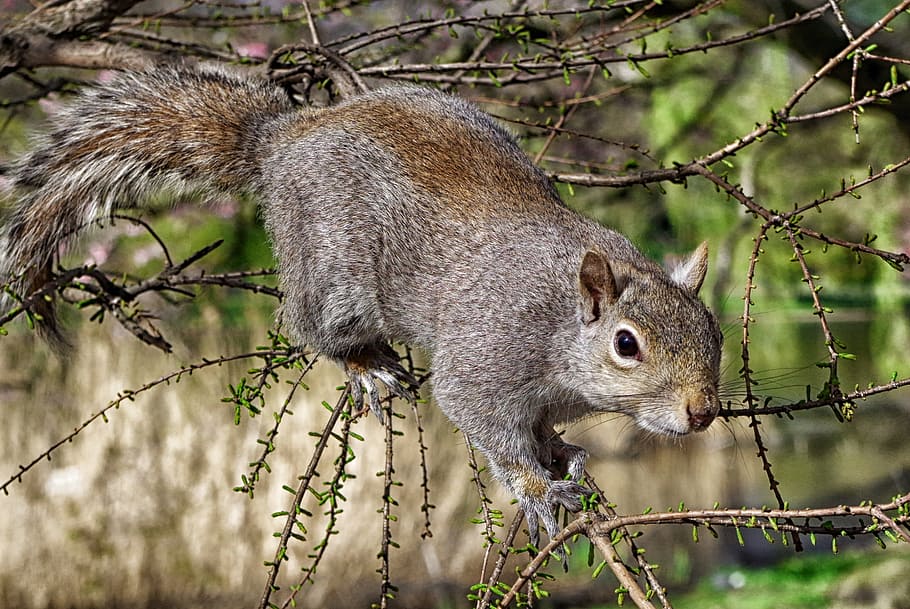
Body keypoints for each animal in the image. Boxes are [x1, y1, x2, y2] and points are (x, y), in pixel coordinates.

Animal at [0, 66, 723, 548]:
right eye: (627, 344)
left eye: (713, 333)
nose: (703, 412)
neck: (560, 326)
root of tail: (280, 139)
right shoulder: (485, 360)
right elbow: (489, 428)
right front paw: (542, 489)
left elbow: (542, 430)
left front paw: (562, 450)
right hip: (333, 277)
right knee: (317, 328)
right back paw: (365, 366)